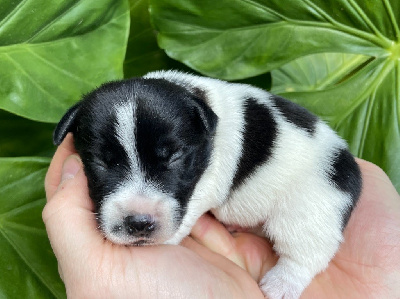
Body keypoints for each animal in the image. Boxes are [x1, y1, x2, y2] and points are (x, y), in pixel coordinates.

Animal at [53, 71, 362, 299]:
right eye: (101, 162)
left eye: (174, 157)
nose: (139, 223)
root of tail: (349, 165)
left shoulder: (205, 185)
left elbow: (187, 213)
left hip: (311, 209)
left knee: (307, 254)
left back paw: (282, 284)